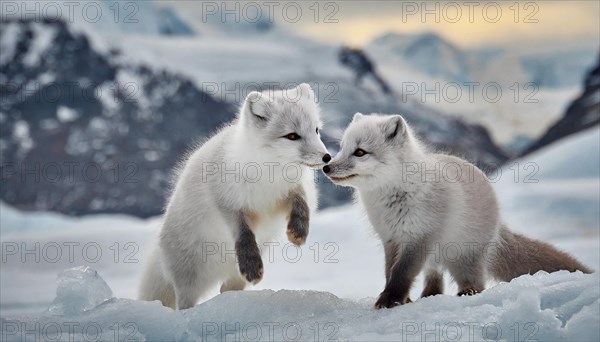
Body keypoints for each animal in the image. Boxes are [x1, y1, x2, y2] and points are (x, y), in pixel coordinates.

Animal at [138, 83, 330, 310]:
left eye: (316, 130)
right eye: (292, 136)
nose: (327, 157)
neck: (269, 173)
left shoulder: (289, 192)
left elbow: (302, 204)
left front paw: (299, 230)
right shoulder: (227, 204)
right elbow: (244, 235)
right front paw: (251, 265)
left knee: (226, 288)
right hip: (188, 277)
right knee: (185, 303)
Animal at [324, 113, 592, 308]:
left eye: (360, 152)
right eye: (342, 148)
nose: (327, 166)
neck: (396, 193)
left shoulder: (419, 237)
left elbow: (402, 273)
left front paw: (389, 300)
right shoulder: (391, 239)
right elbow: (391, 271)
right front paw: (400, 299)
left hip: (464, 257)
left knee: (477, 283)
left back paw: (466, 293)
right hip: (438, 256)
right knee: (436, 279)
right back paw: (429, 296)